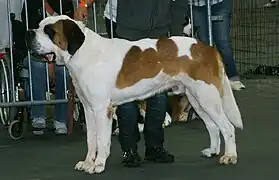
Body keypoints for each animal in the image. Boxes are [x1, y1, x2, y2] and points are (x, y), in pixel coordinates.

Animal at [26, 15, 245, 174]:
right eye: (39, 26)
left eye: (49, 31)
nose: (29, 33)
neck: (82, 53)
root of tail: (208, 48)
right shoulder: (88, 109)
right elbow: (91, 139)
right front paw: (87, 162)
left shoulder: (101, 109)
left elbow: (102, 139)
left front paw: (98, 165)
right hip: (197, 98)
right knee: (212, 126)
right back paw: (213, 151)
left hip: (207, 96)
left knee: (227, 127)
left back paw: (230, 156)